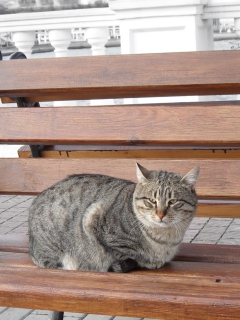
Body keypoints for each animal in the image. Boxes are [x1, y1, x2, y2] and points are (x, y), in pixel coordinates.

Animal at [29, 165, 200, 272]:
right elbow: (125, 252)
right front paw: (148, 261)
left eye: (173, 201)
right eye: (151, 201)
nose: (160, 214)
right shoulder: (93, 219)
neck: (166, 238)